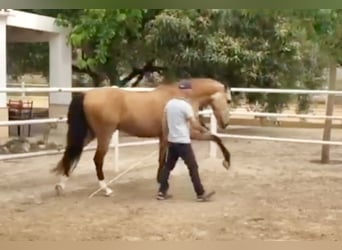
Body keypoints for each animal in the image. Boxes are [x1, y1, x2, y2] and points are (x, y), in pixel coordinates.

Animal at [51, 78, 232, 197]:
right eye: (229, 100)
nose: (226, 123)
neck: (180, 96)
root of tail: (86, 95)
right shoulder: (190, 134)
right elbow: (216, 138)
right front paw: (226, 162)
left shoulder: (164, 137)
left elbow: (162, 160)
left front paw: (161, 182)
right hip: (104, 134)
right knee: (97, 160)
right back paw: (106, 189)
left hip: (90, 134)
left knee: (73, 154)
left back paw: (61, 185)